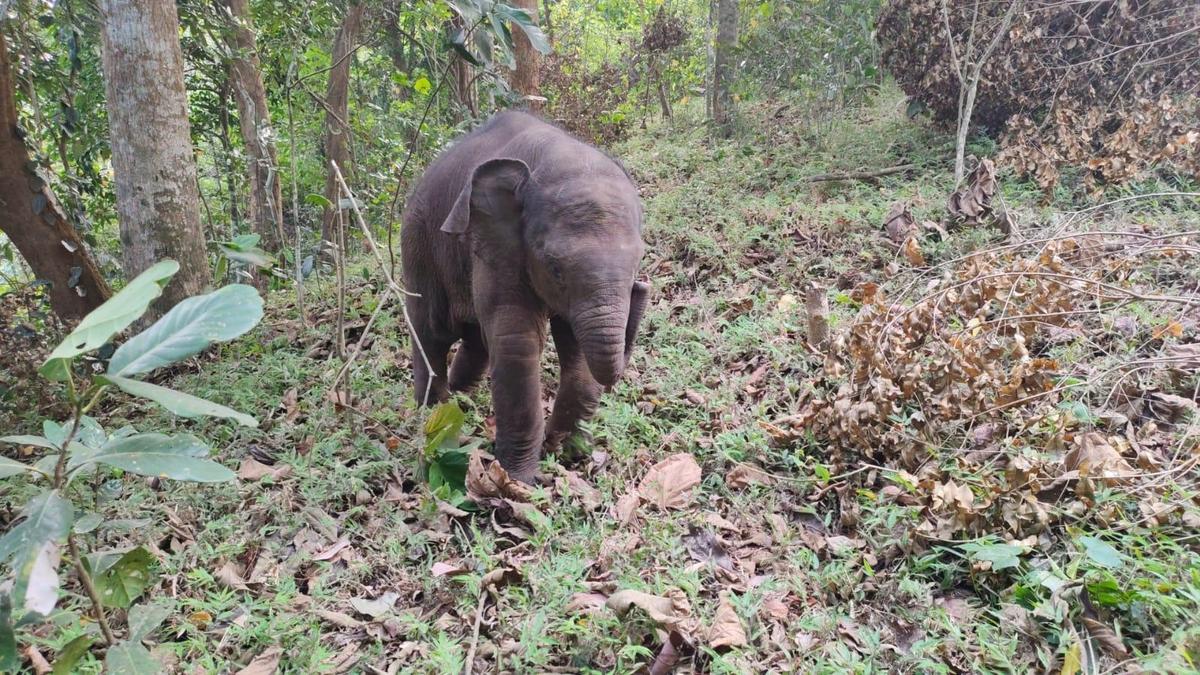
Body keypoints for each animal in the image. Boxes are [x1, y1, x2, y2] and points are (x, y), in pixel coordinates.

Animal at [400, 111, 650, 483]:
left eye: (638, 261)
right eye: (555, 268)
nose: (642, 287)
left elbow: (573, 343)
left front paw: (564, 449)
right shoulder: (498, 241)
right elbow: (516, 338)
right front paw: (518, 480)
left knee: (475, 339)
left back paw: (460, 401)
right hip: (416, 241)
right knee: (431, 331)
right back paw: (433, 414)